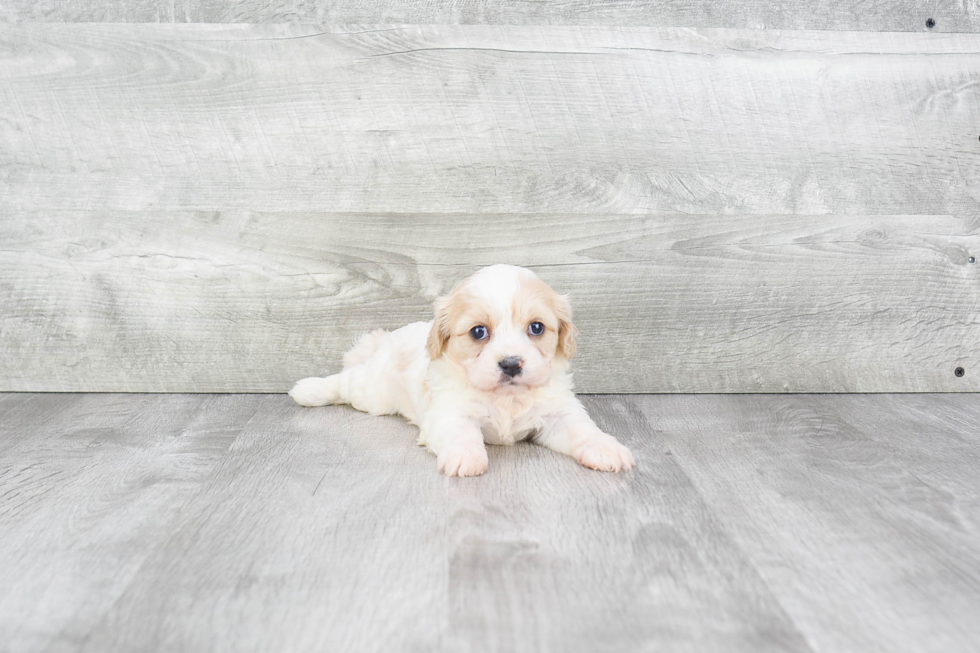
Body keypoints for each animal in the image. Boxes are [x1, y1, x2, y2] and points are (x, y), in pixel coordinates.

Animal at [288, 262, 636, 476]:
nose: (511, 363)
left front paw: (606, 448)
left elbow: (583, 430)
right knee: (346, 381)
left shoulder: (558, 414)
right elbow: (461, 433)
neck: (506, 398)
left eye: (536, 328)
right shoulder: (450, 412)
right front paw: (465, 457)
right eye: (478, 332)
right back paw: (307, 389)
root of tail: (389, 337)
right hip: (373, 392)